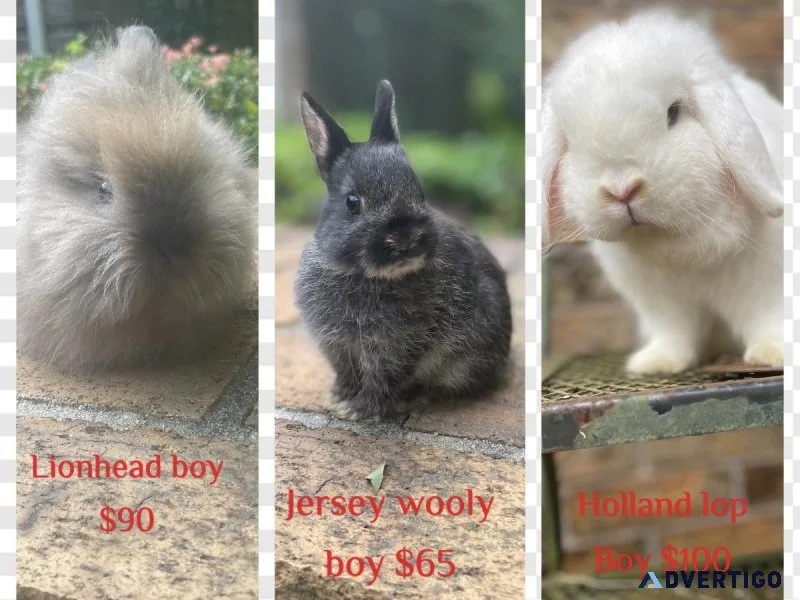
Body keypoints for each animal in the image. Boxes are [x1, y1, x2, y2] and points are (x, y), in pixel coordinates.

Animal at [294, 80, 513, 420]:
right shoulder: (338, 346)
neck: (366, 276)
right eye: (352, 202)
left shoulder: (395, 347)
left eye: (418, 190)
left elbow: (383, 377)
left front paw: (359, 409)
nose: (405, 236)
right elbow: (346, 371)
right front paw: (340, 397)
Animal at [542, 10, 783, 376]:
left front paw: (775, 353)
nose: (622, 189)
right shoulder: (659, 301)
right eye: (570, 139)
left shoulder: (768, 280)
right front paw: (655, 363)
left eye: (674, 112)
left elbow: (769, 317)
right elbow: (673, 331)